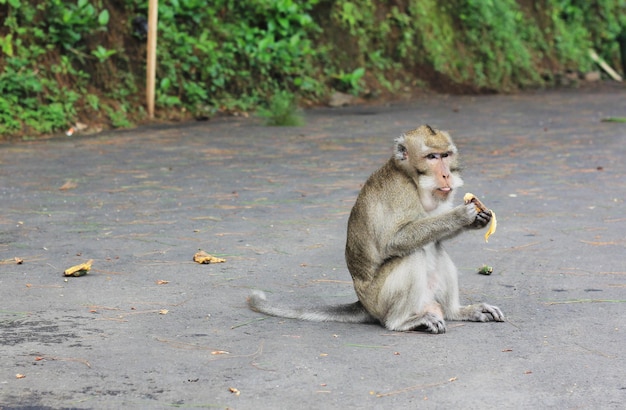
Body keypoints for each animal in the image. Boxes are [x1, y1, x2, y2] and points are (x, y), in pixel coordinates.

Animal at [247, 125, 502, 334]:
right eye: (431, 157)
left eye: (445, 155)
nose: (446, 174)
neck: (412, 178)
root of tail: (363, 303)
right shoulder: (401, 192)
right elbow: (394, 241)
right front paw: (461, 215)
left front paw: (477, 219)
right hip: (380, 300)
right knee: (414, 254)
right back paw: (402, 322)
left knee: (436, 247)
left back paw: (456, 312)